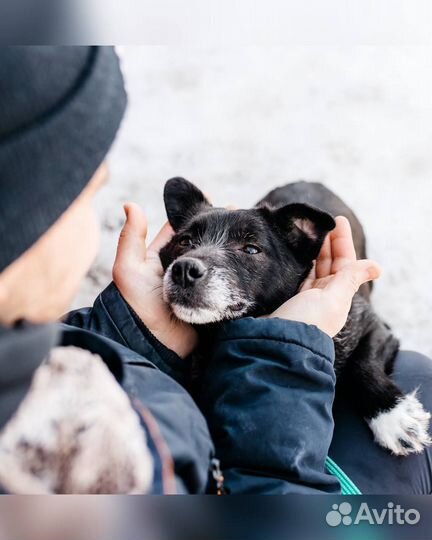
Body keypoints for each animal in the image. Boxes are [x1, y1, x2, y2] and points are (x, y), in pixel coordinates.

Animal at [160, 177, 430, 456]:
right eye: (185, 241)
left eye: (251, 249)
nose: (183, 270)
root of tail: (311, 182)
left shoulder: (372, 327)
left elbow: (363, 363)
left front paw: (393, 415)